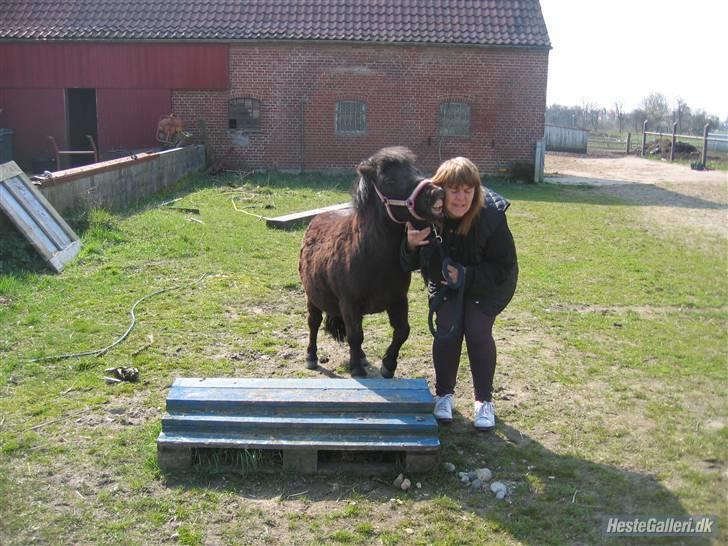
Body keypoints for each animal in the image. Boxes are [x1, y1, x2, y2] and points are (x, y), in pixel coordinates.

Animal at [298, 147, 444, 376]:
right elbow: (355, 336)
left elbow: (402, 331)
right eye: (390, 181)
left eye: (416, 170)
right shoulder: (349, 304)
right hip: (312, 297)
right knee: (314, 323)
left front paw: (388, 365)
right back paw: (311, 357)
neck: (371, 256)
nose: (436, 193)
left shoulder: (398, 300)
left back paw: (362, 357)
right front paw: (357, 370)